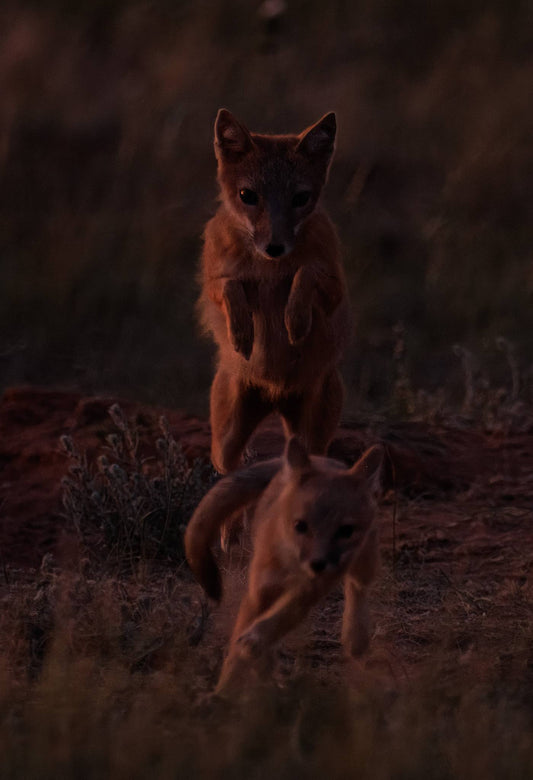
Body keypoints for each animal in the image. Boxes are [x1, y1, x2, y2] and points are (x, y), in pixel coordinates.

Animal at [185, 436, 383, 694]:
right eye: (300, 526)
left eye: (345, 531)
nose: (318, 564)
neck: (291, 565)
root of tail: (322, 458)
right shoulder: (259, 591)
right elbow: (239, 648)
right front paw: (223, 691)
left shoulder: (309, 590)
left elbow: (279, 619)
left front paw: (254, 642)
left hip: (363, 564)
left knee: (357, 588)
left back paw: (354, 636)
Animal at [198, 109, 351, 475]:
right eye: (247, 196)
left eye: (300, 198)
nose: (274, 247)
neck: (268, 267)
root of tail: (276, 396)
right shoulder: (212, 283)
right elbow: (232, 285)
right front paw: (241, 333)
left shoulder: (334, 289)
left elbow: (305, 273)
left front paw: (295, 321)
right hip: (226, 444)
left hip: (313, 439)